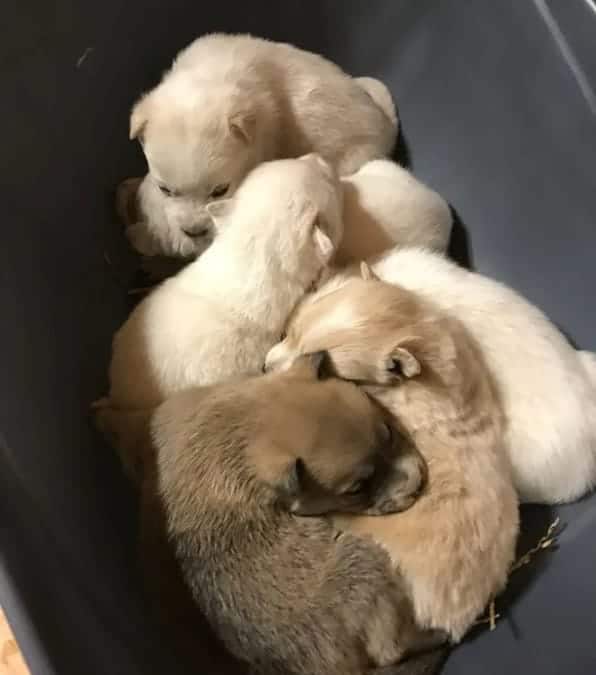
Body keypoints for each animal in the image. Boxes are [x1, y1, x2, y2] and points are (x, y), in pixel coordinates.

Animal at [148, 356, 448, 672]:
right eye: (356, 489)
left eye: (389, 433)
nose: (418, 483)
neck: (245, 421)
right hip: (365, 559)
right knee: (389, 649)